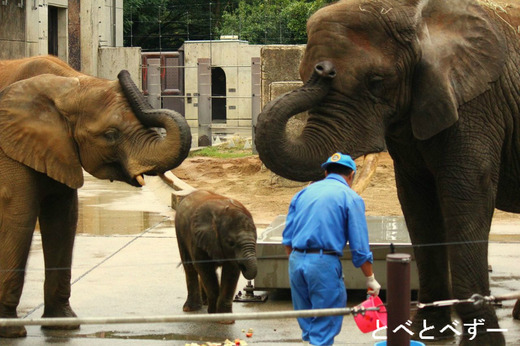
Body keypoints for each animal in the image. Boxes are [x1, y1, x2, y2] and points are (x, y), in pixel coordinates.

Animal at [0, 55, 192, 336]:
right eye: (110, 135)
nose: (122, 73)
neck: (70, 83)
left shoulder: (59, 148)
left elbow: (63, 220)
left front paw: (64, 324)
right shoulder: (9, 146)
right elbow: (18, 218)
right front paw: (11, 331)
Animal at [174, 189, 256, 322]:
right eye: (231, 242)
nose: (243, 266)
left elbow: (231, 271)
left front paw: (225, 320)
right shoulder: (197, 239)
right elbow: (205, 269)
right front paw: (214, 314)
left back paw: (205, 303)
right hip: (180, 232)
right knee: (190, 267)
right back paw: (191, 308)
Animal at [255, 1, 520, 344]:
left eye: (376, 80)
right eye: (302, 73)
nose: (323, 70)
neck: (416, 15)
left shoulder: (478, 103)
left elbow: (466, 193)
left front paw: (482, 340)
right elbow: (418, 203)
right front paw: (425, 331)